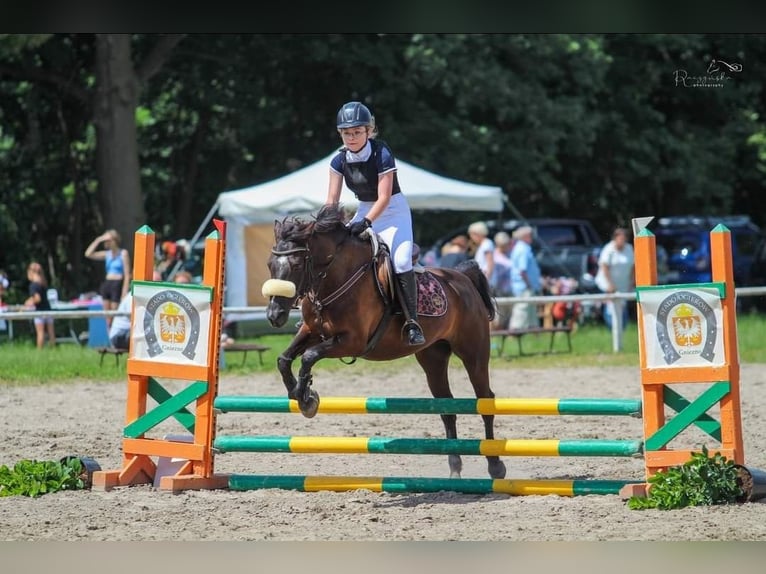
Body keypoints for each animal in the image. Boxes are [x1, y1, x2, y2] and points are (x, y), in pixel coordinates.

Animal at [264, 205, 510, 480]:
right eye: (270, 264)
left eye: (296, 264)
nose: (275, 315)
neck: (336, 276)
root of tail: (462, 278)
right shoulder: (312, 331)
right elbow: (284, 359)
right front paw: (299, 393)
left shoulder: (353, 341)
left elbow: (308, 357)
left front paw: (307, 399)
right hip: (433, 358)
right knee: (446, 407)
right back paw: (454, 468)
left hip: (473, 353)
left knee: (485, 399)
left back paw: (495, 465)